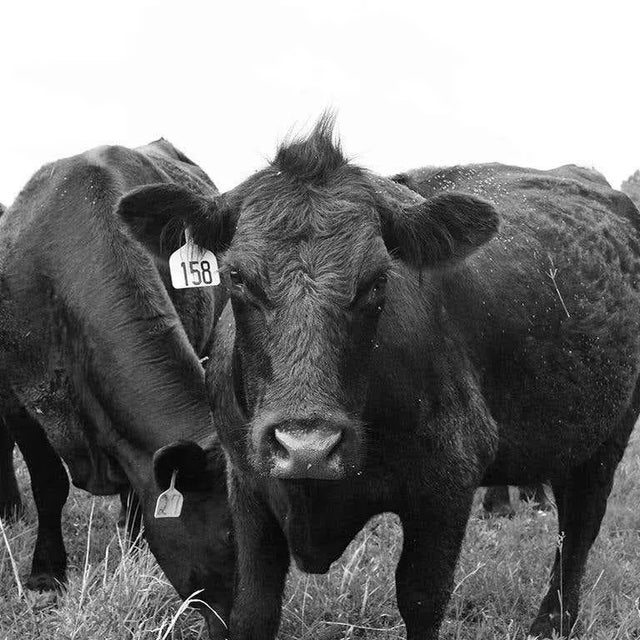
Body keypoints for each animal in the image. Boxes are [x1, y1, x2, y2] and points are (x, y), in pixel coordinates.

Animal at [0, 141, 233, 639]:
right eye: (229, 534)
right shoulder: (20, 401)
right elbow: (48, 483)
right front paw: (46, 574)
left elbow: (139, 487)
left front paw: (137, 549)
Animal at [117, 117, 640, 640]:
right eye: (237, 277)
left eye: (377, 281)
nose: (307, 448)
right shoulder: (246, 485)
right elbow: (254, 607)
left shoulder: (447, 485)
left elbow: (421, 597)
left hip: (608, 436)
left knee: (578, 530)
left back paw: (551, 622)